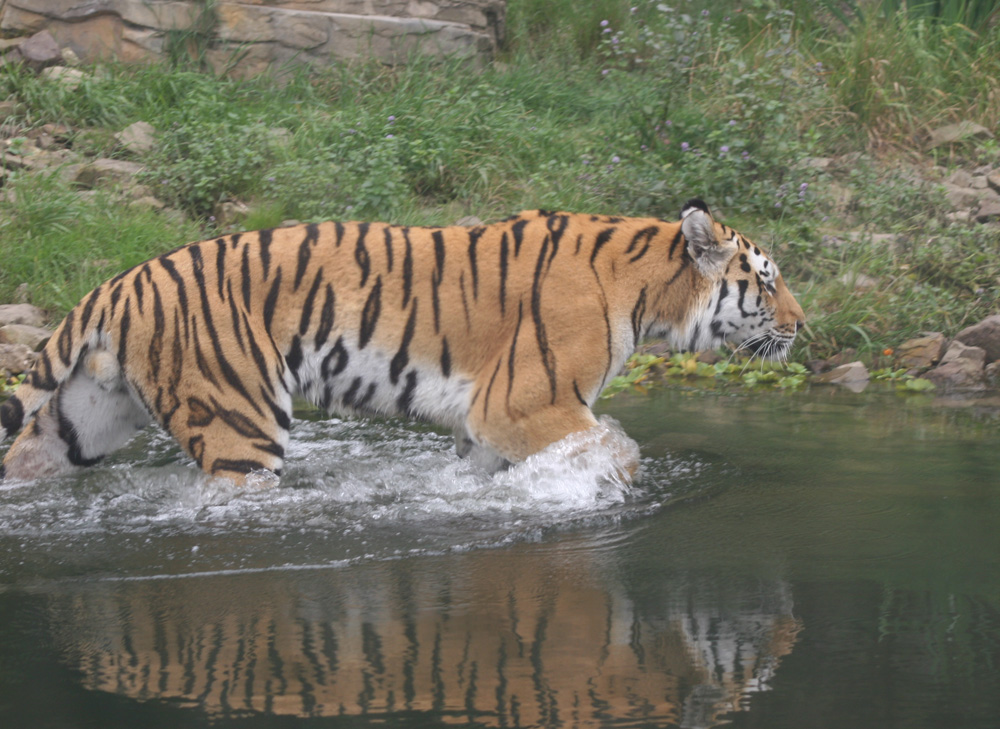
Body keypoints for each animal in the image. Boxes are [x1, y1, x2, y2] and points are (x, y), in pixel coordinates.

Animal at [0, 199, 804, 484]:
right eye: (767, 282)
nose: (802, 326)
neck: (647, 290)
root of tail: (119, 282)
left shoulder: (488, 422)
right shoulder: (524, 404)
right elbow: (616, 448)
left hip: (82, 421)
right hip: (239, 423)